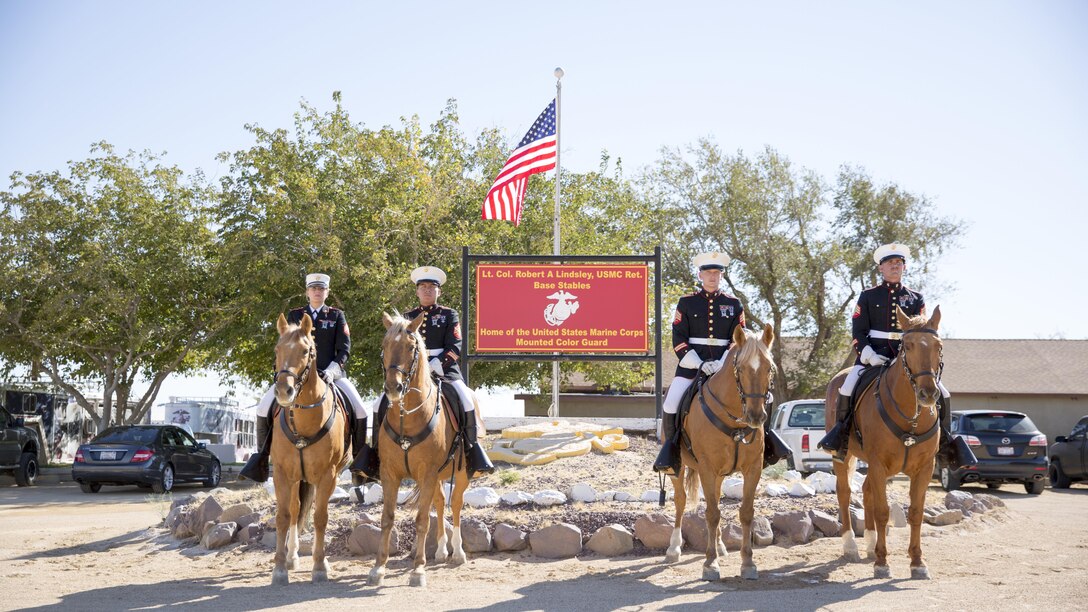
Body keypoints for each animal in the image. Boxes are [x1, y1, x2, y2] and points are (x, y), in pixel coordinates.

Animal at [267, 311, 348, 583]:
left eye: (305, 351)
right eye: (277, 349)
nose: (284, 391)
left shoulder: (327, 475)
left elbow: (321, 517)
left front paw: (320, 566)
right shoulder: (282, 473)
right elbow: (283, 516)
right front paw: (280, 568)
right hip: (296, 478)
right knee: (294, 510)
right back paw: (292, 556)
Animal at [369, 311, 472, 588]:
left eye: (411, 346)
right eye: (384, 345)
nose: (393, 388)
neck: (409, 417)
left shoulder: (427, 473)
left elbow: (422, 520)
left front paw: (418, 569)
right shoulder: (390, 474)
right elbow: (387, 518)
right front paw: (378, 568)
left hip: (459, 473)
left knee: (455, 504)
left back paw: (458, 552)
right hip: (436, 477)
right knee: (440, 502)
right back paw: (441, 550)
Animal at [661, 322, 774, 579]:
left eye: (769, 368)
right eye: (740, 369)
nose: (756, 416)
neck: (735, 421)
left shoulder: (753, 469)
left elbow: (746, 512)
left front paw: (748, 563)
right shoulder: (707, 468)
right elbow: (711, 514)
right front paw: (710, 563)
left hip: (721, 474)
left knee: (717, 499)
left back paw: (721, 545)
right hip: (678, 469)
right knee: (681, 501)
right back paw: (673, 548)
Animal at [822, 302, 944, 574]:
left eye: (938, 346)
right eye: (907, 345)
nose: (928, 393)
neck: (911, 416)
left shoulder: (924, 467)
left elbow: (916, 512)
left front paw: (917, 561)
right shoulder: (878, 463)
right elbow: (882, 512)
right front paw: (881, 561)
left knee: (866, 490)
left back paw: (869, 543)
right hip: (843, 456)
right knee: (845, 493)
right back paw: (851, 546)